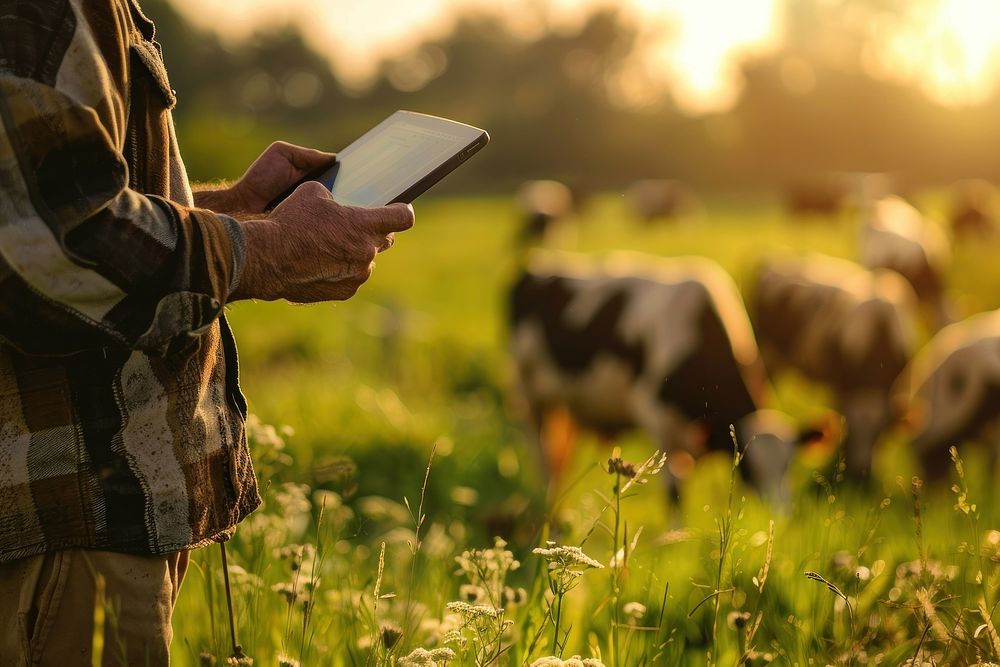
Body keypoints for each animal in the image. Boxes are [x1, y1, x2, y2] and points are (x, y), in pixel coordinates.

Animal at [508, 253, 812, 504]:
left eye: (789, 466)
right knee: (542, 459)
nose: (781, 513)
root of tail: (535, 264)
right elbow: (673, 492)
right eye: (749, 469)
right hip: (527, 395)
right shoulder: (657, 423)